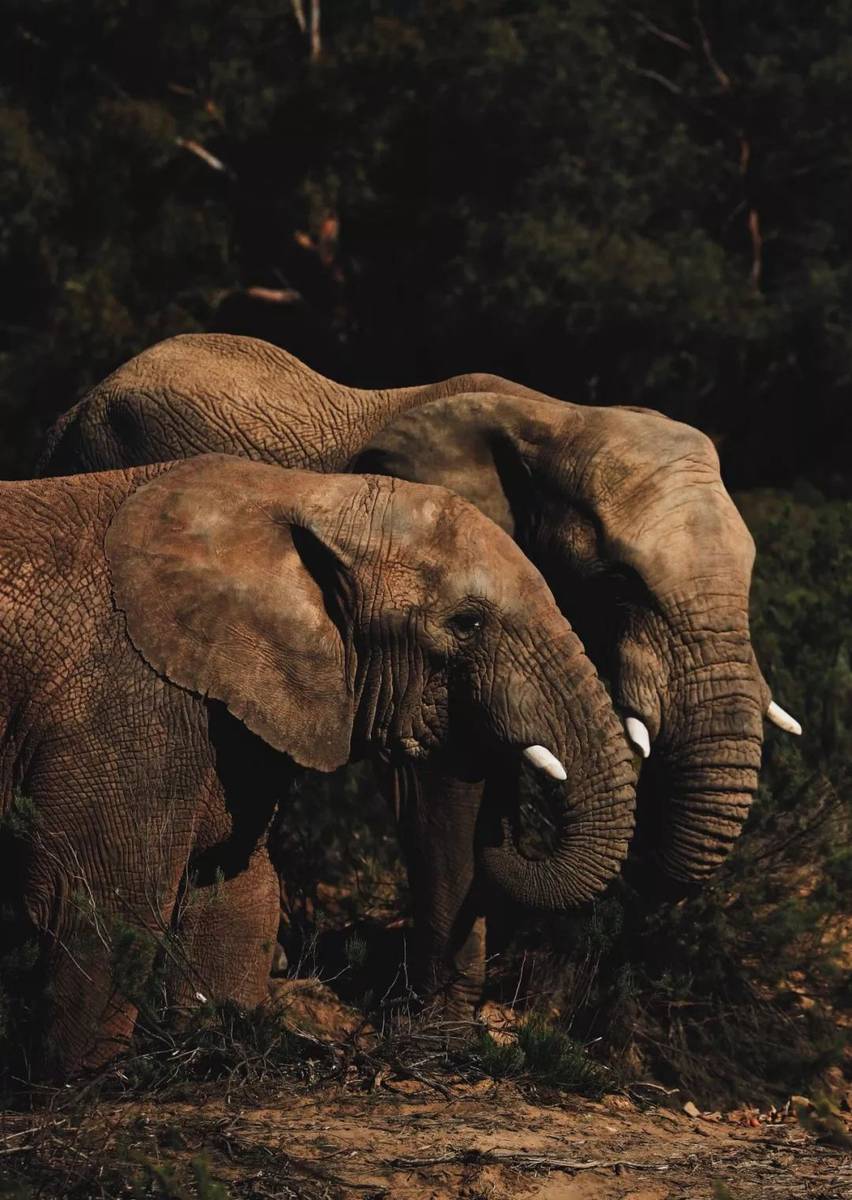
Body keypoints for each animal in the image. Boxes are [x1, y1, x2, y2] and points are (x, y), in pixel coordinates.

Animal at [0, 453, 633, 1075]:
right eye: (466, 623)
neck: (302, 495)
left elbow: (238, 892)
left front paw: (211, 1051)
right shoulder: (120, 700)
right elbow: (102, 904)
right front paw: (77, 1082)